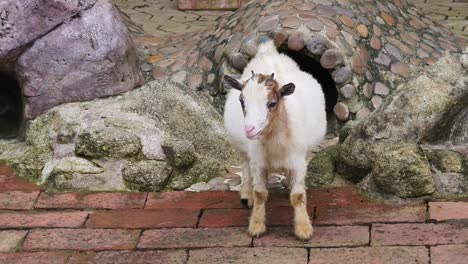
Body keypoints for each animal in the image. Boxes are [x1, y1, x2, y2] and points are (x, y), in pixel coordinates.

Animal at [222, 40, 326, 240]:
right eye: (242, 101)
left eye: (272, 103)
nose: (249, 129)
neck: (274, 142)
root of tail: (268, 52)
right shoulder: (258, 162)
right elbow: (260, 194)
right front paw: (256, 226)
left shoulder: (298, 161)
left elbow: (297, 196)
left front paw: (303, 229)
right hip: (243, 149)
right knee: (245, 167)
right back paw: (246, 196)